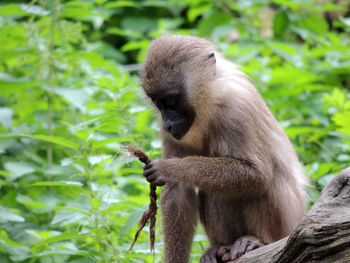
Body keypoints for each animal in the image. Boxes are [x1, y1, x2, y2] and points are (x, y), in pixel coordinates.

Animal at [141, 35, 308, 263]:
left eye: (172, 102)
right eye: (159, 104)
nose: (167, 125)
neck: (210, 101)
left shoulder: (235, 108)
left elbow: (257, 175)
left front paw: (167, 168)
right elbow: (178, 191)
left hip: (287, 226)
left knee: (266, 182)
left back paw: (257, 241)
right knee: (215, 191)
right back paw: (221, 248)